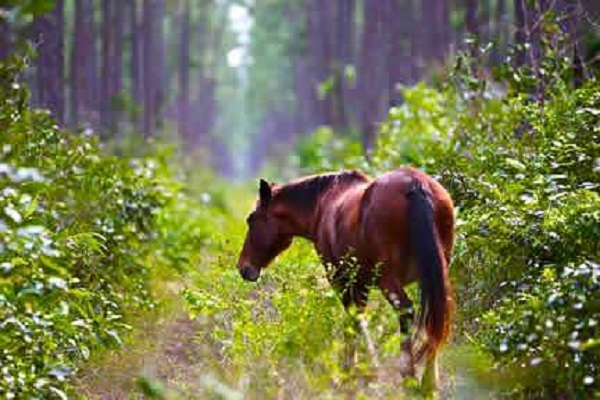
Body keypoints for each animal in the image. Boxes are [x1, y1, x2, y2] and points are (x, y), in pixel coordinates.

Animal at [236, 166, 454, 390]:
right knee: (435, 319)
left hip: (389, 281)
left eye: (251, 219)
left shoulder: (342, 280)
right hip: (436, 276)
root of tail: (416, 185)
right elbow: (359, 321)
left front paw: (350, 373)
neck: (323, 203)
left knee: (406, 311)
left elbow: (353, 323)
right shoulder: (362, 284)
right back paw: (429, 382)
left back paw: (410, 376)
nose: (243, 267)